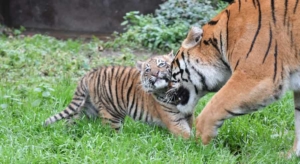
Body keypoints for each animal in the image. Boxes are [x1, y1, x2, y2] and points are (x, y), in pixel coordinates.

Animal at [44, 52, 192, 138]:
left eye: (161, 64)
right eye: (148, 70)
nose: (155, 74)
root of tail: (90, 73)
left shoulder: (188, 115)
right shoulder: (174, 120)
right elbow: (188, 135)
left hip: (89, 108)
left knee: (72, 119)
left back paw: (68, 134)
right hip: (112, 114)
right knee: (111, 134)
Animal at [170, 0, 300, 156]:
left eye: (170, 70)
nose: (167, 95)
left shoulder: (256, 76)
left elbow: (215, 106)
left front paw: (200, 145)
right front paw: (291, 156)